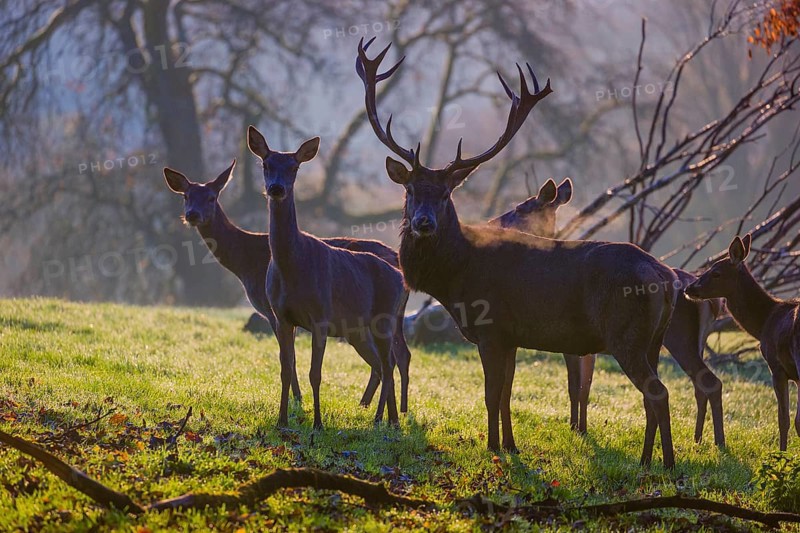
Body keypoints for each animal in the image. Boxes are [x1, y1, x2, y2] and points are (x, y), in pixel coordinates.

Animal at [162, 161, 413, 413]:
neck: (244, 263)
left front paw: (298, 399)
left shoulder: (270, 308)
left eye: (211, 197)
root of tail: (399, 262)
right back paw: (385, 407)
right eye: (186, 196)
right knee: (400, 354)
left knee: (391, 356)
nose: (192, 214)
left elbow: (290, 357)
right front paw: (297, 399)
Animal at [247, 126, 407, 429]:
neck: (292, 268)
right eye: (266, 164)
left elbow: (315, 373)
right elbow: (286, 369)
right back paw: (386, 419)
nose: (276, 188)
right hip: (360, 328)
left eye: (294, 167)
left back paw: (385, 420)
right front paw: (282, 421)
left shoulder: (320, 315)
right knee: (385, 363)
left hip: (384, 318)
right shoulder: (282, 317)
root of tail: (401, 278)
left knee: (389, 363)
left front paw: (318, 424)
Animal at [357, 38, 679, 467]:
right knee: (651, 394)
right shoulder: (510, 336)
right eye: (410, 190)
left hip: (627, 333)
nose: (423, 223)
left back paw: (663, 464)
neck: (457, 278)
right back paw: (649, 460)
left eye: (445, 194)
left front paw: (492, 446)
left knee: (657, 392)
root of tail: (667, 276)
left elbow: (491, 395)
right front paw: (509, 445)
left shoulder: (491, 328)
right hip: (654, 340)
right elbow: (506, 395)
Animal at [490, 179, 726, 447]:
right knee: (701, 384)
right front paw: (581, 427)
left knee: (707, 382)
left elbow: (575, 387)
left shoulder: (570, 344)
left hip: (676, 339)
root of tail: (715, 303)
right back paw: (700, 439)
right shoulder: (585, 347)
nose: (493, 223)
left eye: (520, 208)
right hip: (686, 342)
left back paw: (715, 441)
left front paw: (575, 427)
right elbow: (585, 388)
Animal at [686, 234, 800, 451]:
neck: (763, 323)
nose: (689, 288)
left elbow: (784, 419)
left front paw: (782, 453)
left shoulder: (777, 366)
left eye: (716, 272)